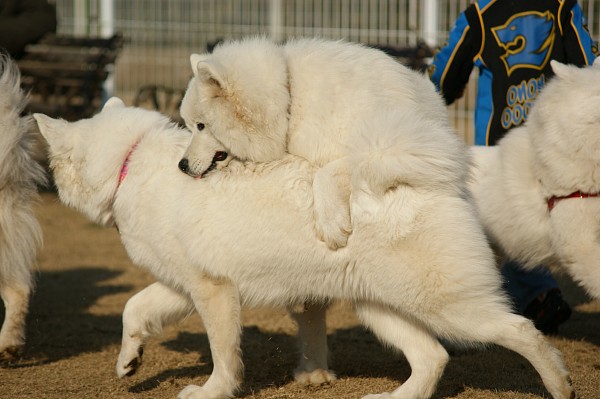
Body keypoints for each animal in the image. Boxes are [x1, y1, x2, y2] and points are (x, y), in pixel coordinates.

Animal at [36, 100, 572, 399]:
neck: (130, 161)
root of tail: (417, 182)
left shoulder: (213, 293)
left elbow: (223, 356)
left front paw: (212, 392)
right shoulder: (182, 286)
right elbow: (133, 308)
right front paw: (129, 362)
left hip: (450, 308)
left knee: (521, 331)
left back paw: (560, 385)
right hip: (381, 309)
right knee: (432, 359)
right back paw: (392, 398)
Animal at [178, 36, 468, 250]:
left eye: (201, 126)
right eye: (189, 126)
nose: (181, 165)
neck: (290, 98)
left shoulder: (386, 144)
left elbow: (326, 174)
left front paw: (331, 226)